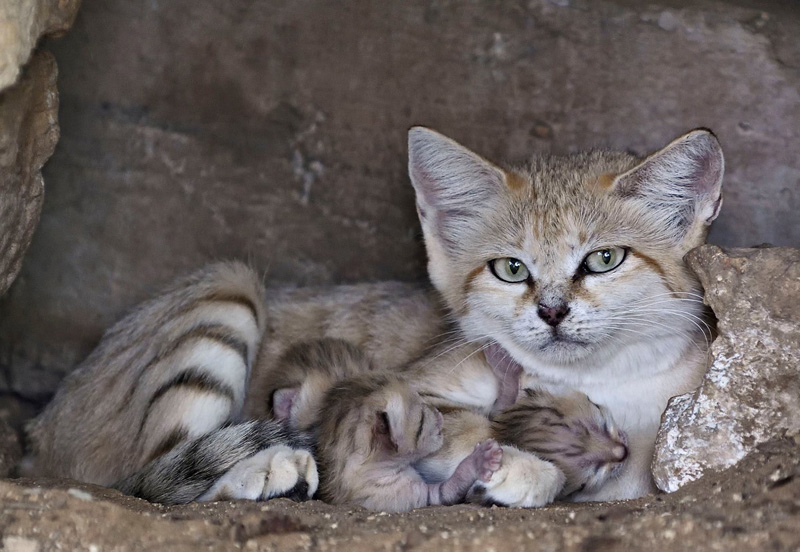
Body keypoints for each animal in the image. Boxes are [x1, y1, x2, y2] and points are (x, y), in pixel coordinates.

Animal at [26, 126, 724, 504]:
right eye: (511, 269)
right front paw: (522, 466)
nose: (552, 311)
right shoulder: (409, 390)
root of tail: (38, 433)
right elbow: (462, 424)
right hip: (227, 289)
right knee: (150, 481)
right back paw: (265, 468)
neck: (607, 381)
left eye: (604, 259)